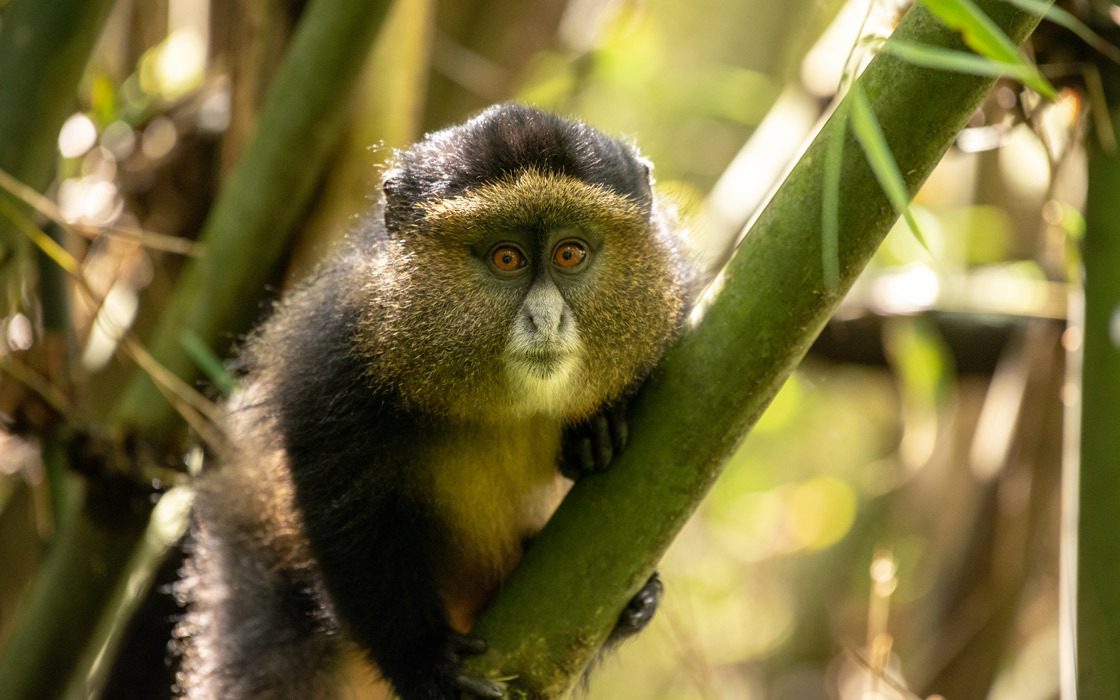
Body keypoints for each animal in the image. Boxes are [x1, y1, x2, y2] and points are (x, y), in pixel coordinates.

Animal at [173, 103, 694, 699]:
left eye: (570, 253)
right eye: (508, 258)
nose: (546, 319)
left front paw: (599, 425)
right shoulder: (336, 359)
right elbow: (347, 517)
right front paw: (422, 662)